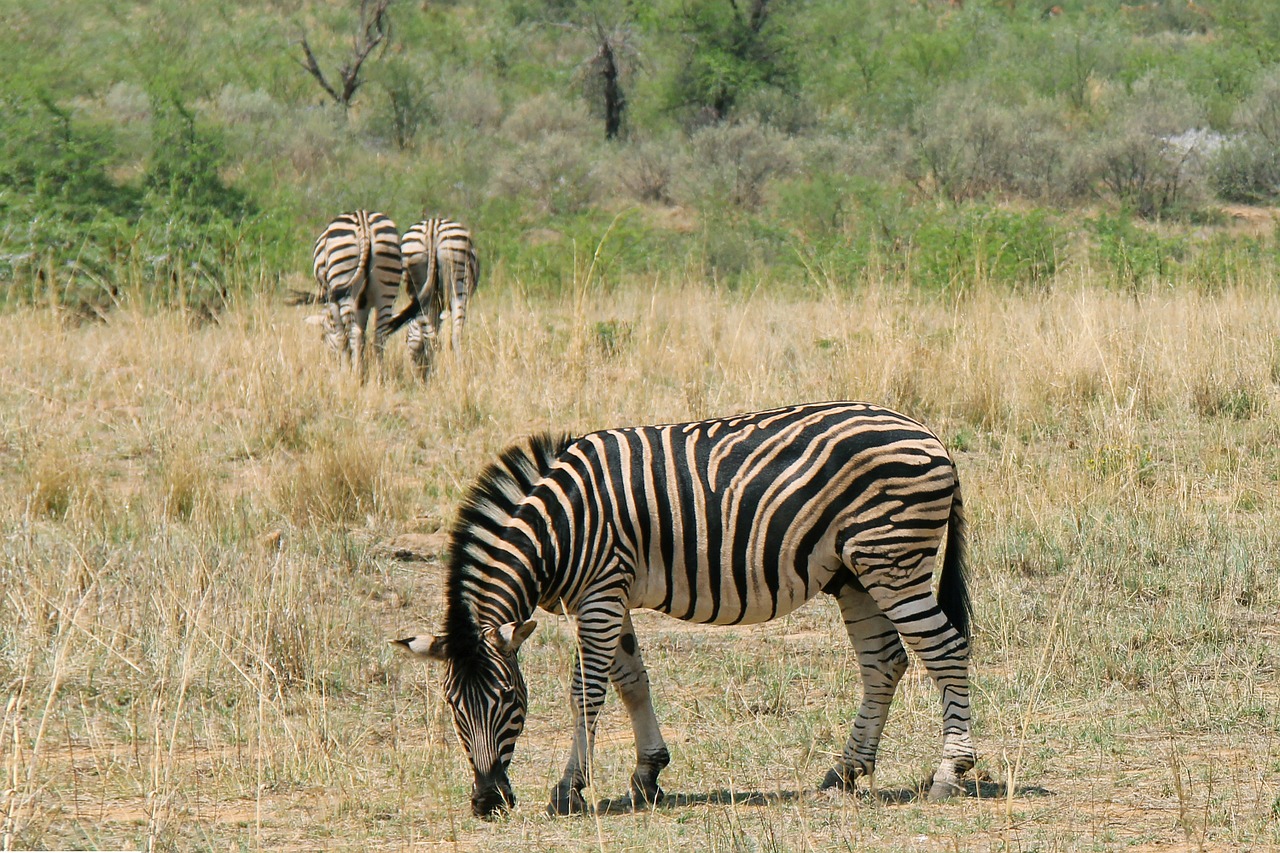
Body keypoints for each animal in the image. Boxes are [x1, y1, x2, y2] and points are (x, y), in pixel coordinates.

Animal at [308, 208, 399, 371]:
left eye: (323, 336)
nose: (332, 360)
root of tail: (363, 222)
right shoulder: (363, 306)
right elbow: (363, 334)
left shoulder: (332, 301)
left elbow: (341, 336)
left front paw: (346, 370)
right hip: (387, 287)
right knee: (379, 334)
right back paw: (379, 375)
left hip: (344, 283)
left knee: (353, 333)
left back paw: (356, 374)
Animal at [384, 216, 481, 368]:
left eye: (406, 340)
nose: (419, 370)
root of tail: (432, 226)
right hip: (458, 283)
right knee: (455, 336)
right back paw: (460, 369)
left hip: (416, 279)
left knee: (430, 337)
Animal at [394, 402, 972, 814]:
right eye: (452, 706)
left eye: (511, 699)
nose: (487, 802)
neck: (559, 527)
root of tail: (928, 433)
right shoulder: (609, 594)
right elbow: (631, 681)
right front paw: (648, 774)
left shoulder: (599, 594)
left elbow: (587, 690)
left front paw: (569, 788)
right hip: (855, 573)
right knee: (884, 662)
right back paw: (845, 772)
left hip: (892, 561)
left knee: (945, 650)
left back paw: (949, 773)